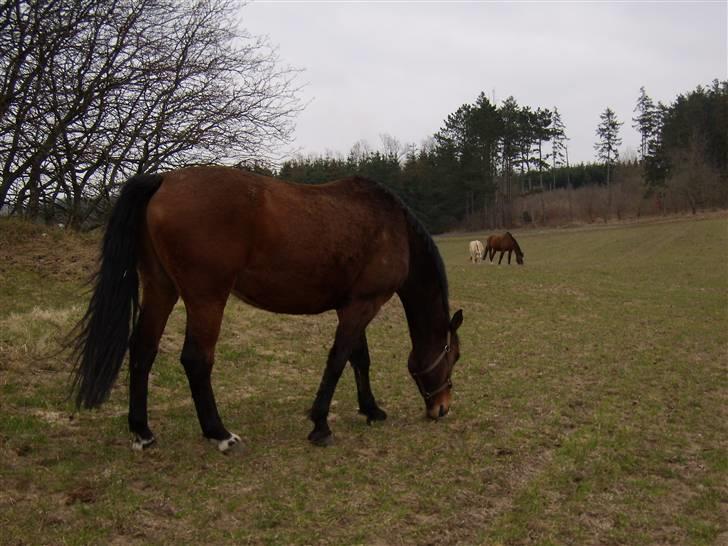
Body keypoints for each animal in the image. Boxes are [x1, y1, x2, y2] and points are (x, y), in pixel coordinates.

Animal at [71, 165, 464, 450]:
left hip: (161, 289)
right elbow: (339, 360)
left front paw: (371, 409)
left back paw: (143, 431)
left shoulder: (352, 305)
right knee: (196, 359)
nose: (442, 407)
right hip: (206, 297)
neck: (391, 226)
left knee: (143, 351)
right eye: (455, 355)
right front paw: (320, 424)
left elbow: (358, 358)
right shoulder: (364, 305)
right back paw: (219, 433)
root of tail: (164, 180)